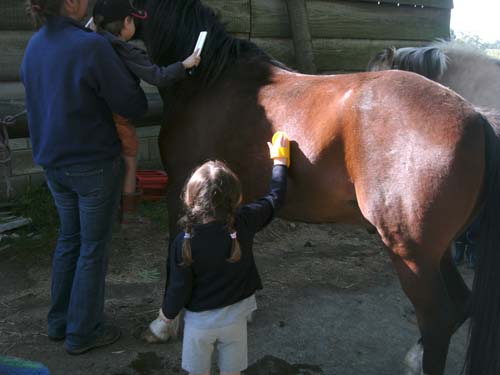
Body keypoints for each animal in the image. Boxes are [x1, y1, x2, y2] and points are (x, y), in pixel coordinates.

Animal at [139, 1, 500, 374]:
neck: (209, 80)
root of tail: (476, 116)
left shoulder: (182, 189)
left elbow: (176, 257)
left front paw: (163, 325)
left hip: (411, 253)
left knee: (438, 318)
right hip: (434, 252)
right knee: (461, 304)